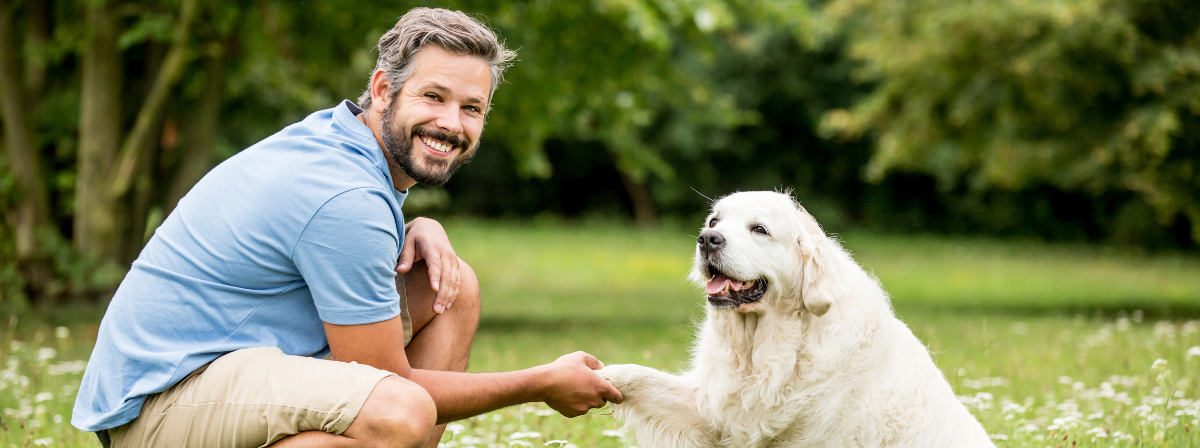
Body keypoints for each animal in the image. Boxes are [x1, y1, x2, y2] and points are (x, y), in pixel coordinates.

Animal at [600, 190, 993, 446]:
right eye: (714, 221)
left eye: (759, 229)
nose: (707, 238)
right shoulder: (716, 411)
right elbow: (637, 375)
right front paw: (597, 376)